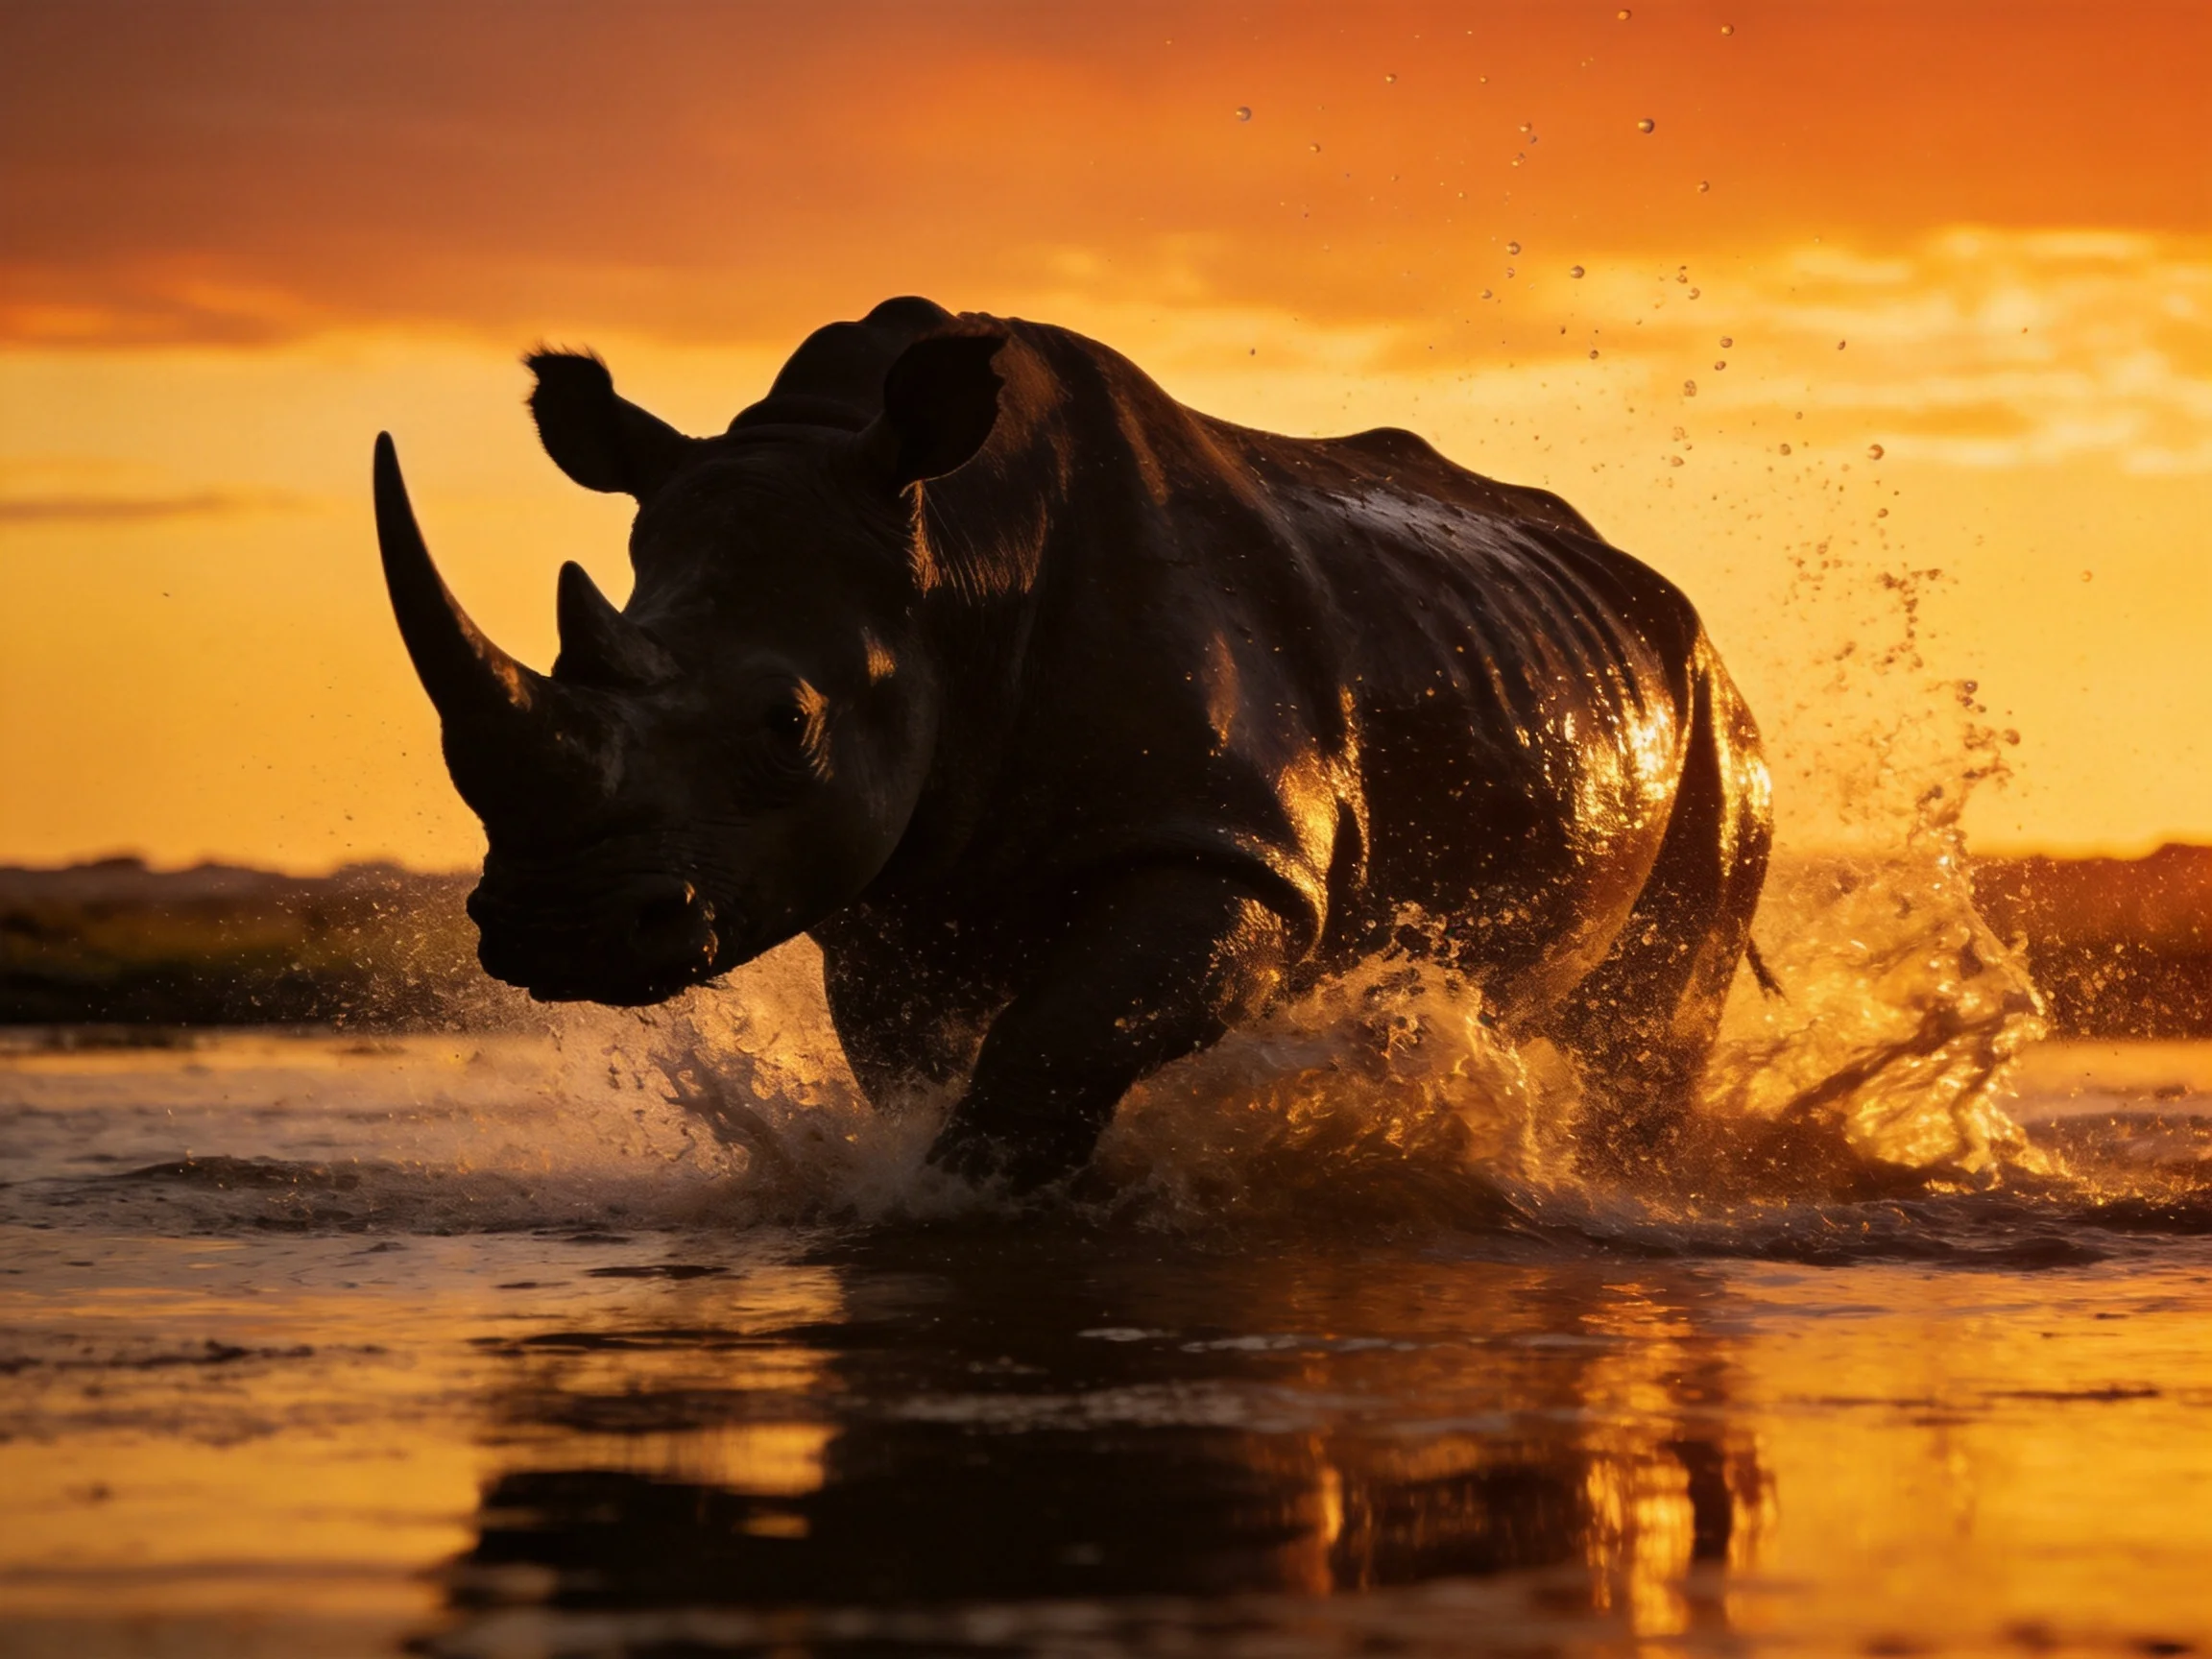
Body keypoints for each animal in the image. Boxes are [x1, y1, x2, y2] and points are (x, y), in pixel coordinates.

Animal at [372, 297, 1771, 1187]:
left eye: (789, 724)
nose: (552, 929)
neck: (951, 554)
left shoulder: (1228, 849)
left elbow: (1056, 1046)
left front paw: (976, 1198)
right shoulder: (899, 888)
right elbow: (927, 1055)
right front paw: (930, 1180)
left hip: (1720, 728)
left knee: (1647, 1029)